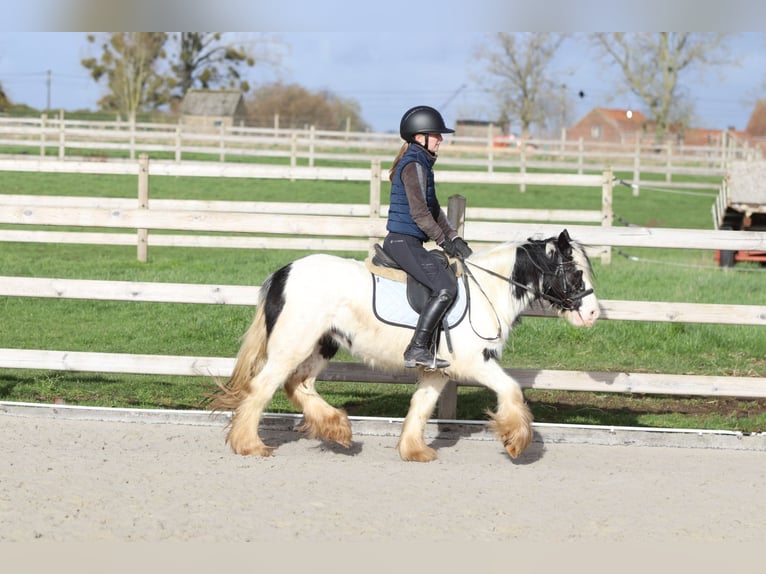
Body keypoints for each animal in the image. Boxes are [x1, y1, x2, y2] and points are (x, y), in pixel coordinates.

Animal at [209, 229, 600, 462]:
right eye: (575, 273)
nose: (594, 313)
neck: (487, 291)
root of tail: (284, 272)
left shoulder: (439, 371)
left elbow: (421, 407)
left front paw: (414, 450)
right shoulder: (476, 362)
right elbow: (512, 389)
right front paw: (516, 440)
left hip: (323, 344)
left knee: (298, 384)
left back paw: (337, 428)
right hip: (293, 344)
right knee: (263, 387)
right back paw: (249, 444)